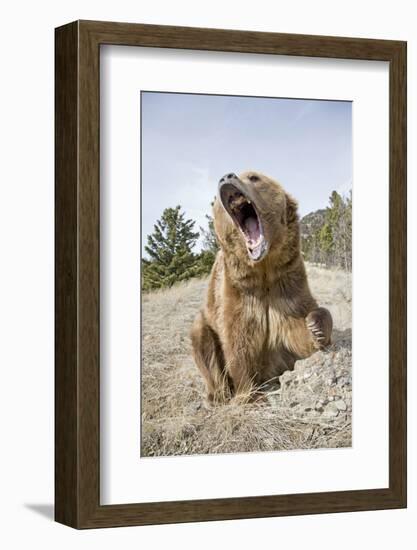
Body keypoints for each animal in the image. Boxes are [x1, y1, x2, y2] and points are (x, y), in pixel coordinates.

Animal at [191, 172, 332, 406]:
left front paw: (316, 326)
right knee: (202, 340)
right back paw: (217, 395)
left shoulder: (287, 285)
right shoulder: (239, 292)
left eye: (254, 177)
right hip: (205, 324)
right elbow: (237, 343)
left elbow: (299, 334)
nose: (226, 177)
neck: (263, 269)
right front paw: (250, 394)